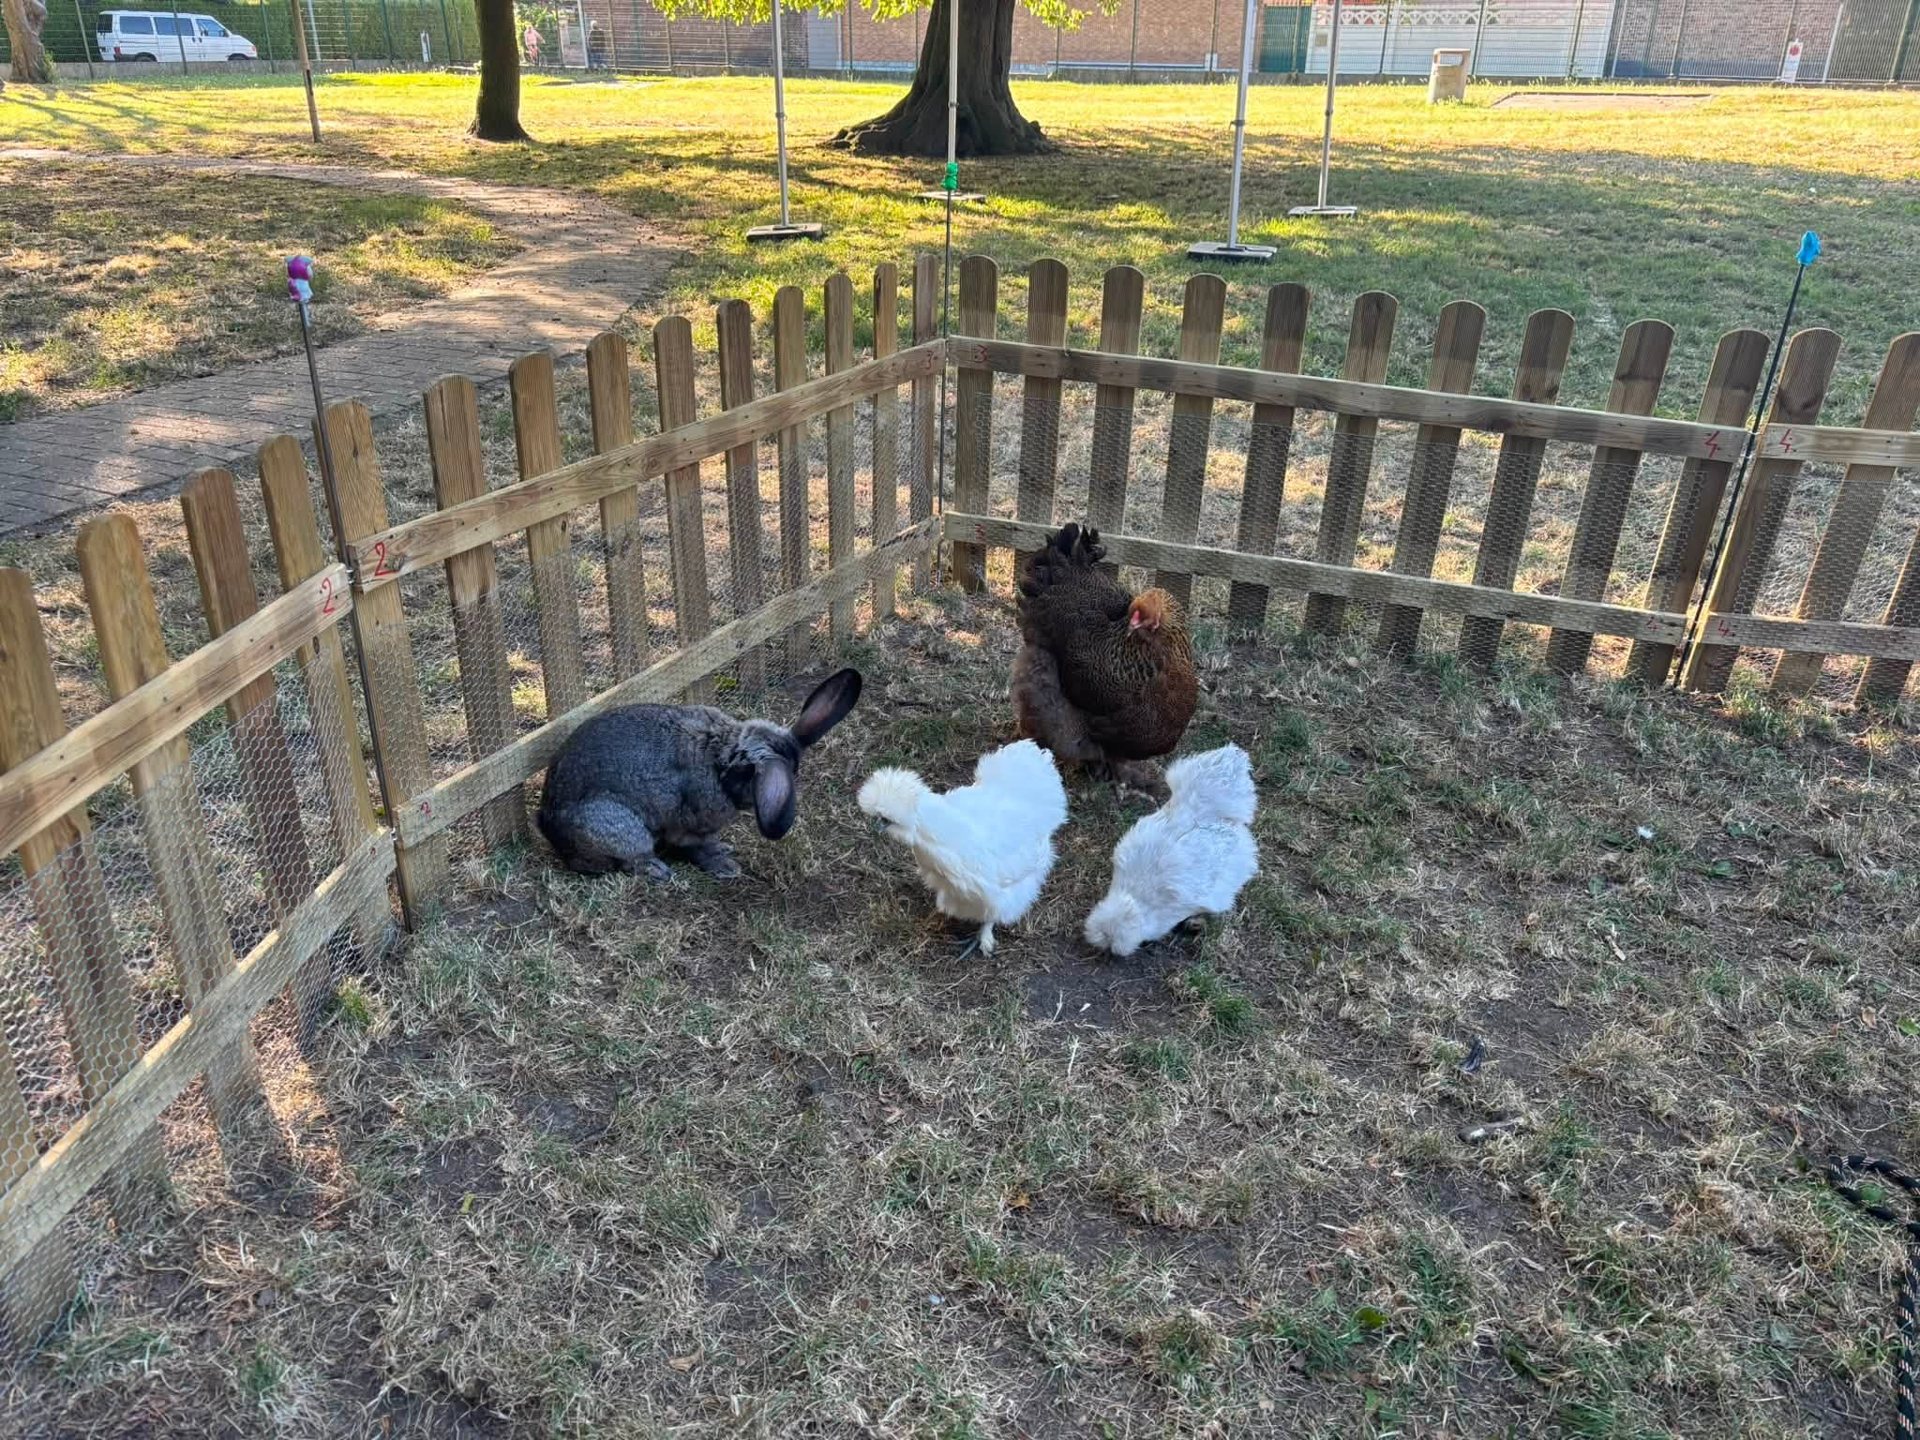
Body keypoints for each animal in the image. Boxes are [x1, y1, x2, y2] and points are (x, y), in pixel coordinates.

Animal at [537, 668, 863, 880]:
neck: (722, 760)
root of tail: (549, 825)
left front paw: (724, 850)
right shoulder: (690, 826)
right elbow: (696, 847)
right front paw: (725, 867)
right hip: (620, 828)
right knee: (630, 858)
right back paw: (656, 871)